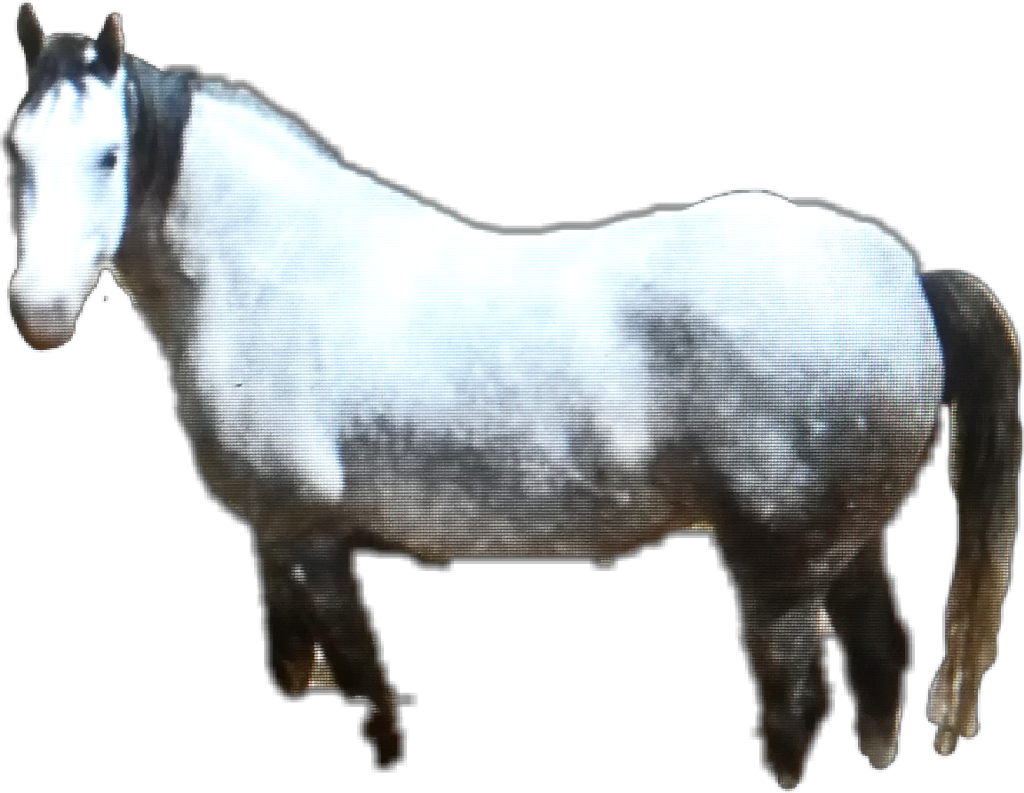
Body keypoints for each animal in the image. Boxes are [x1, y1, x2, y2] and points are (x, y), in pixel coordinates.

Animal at [9, 9, 1018, 787]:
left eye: (109, 156)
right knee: (880, 665)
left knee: (796, 700)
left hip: (782, 564)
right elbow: (301, 663)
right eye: (16, 155)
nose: (39, 311)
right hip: (841, 544)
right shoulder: (277, 540)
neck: (274, 273)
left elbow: (365, 678)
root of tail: (902, 280)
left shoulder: (312, 535)